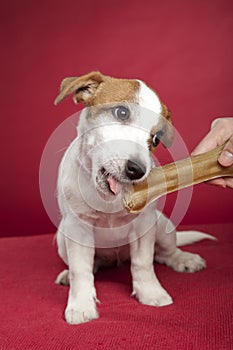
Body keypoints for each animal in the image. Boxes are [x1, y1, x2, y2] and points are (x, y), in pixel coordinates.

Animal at [53, 72, 214, 326]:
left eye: (156, 139)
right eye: (122, 113)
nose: (137, 170)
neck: (108, 199)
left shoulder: (143, 225)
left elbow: (143, 263)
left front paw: (151, 293)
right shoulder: (77, 229)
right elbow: (81, 270)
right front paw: (81, 305)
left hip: (163, 227)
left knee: (165, 253)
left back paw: (184, 259)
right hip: (62, 238)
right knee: (89, 264)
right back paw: (70, 274)